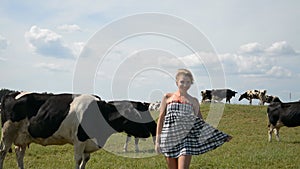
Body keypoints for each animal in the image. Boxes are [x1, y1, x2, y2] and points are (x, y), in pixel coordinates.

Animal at [0, 92, 155, 169]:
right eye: (136, 116)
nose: (148, 132)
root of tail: (12, 94)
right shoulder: (79, 140)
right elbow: (78, 160)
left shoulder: (88, 143)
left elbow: (85, 160)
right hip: (8, 132)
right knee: (3, 153)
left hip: (22, 137)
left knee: (19, 154)